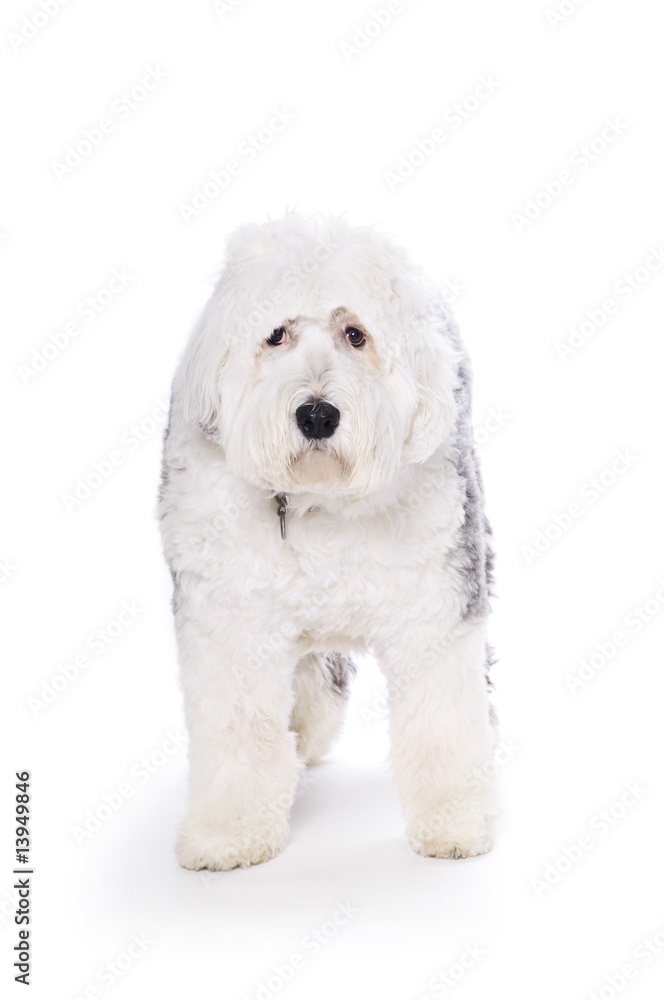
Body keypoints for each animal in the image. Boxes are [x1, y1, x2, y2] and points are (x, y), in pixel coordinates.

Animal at [157, 211, 498, 868]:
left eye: (355, 335)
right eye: (277, 335)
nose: (317, 415)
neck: (318, 502)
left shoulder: (436, 608)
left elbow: (442, 722)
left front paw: (455, 822)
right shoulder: (231, 622)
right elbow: (239, 730)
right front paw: (228, 833)